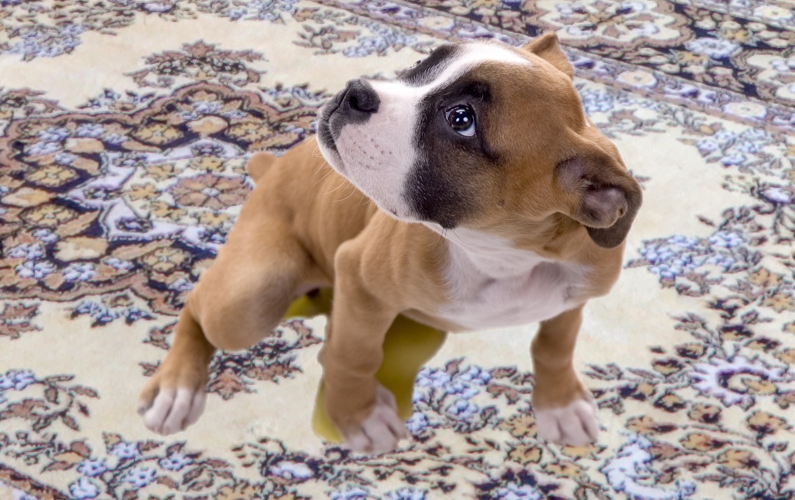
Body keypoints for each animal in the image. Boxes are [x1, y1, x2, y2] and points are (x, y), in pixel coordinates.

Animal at [137, 34, 644, 454]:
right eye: (421, 63)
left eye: (461, 119)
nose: (355, 91)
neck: (497, 253)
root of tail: (273, 169)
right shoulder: (359, 277)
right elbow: (354, 355)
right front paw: (357, 417)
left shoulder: (572, 300)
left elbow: (555, 346)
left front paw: (559, 404)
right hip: (251, 296)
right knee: (198, 306)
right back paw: (175, 388)